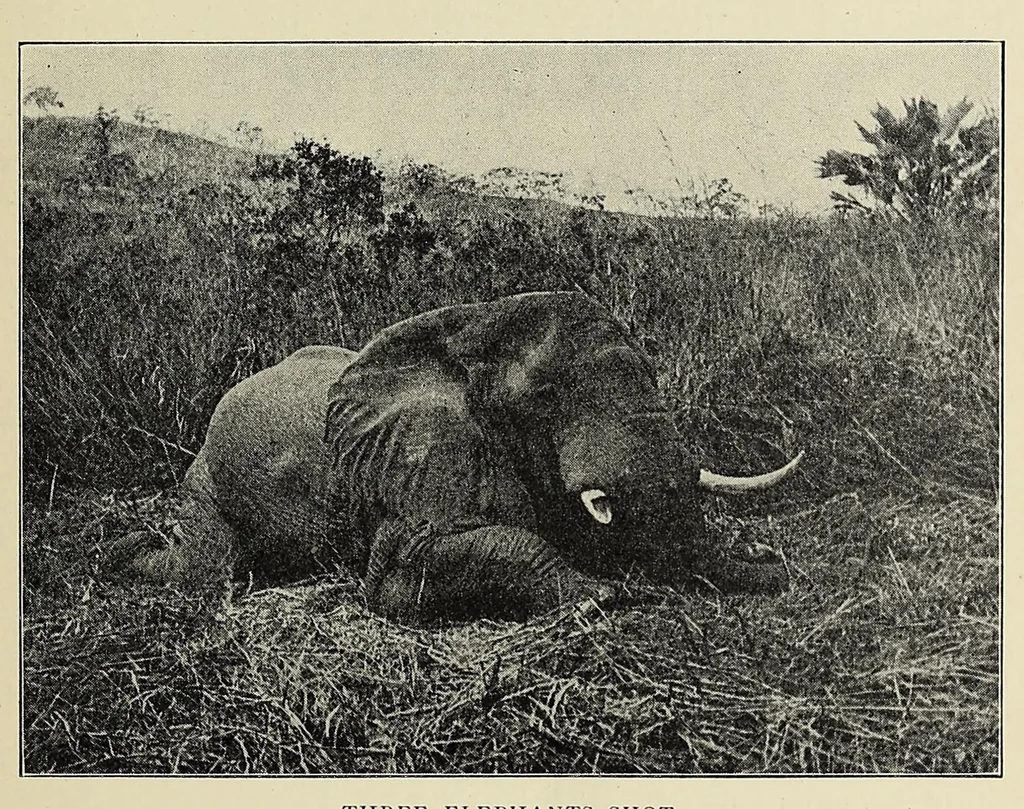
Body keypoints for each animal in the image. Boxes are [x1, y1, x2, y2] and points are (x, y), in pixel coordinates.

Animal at [110, 291, 803, 625]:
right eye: (544, 397)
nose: (774, 564)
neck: (475, 328)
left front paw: (760, 564)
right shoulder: (417, 459)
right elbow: (404, 574)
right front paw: (602, 595)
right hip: (208, 481)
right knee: (208, 569)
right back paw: (125, 554)